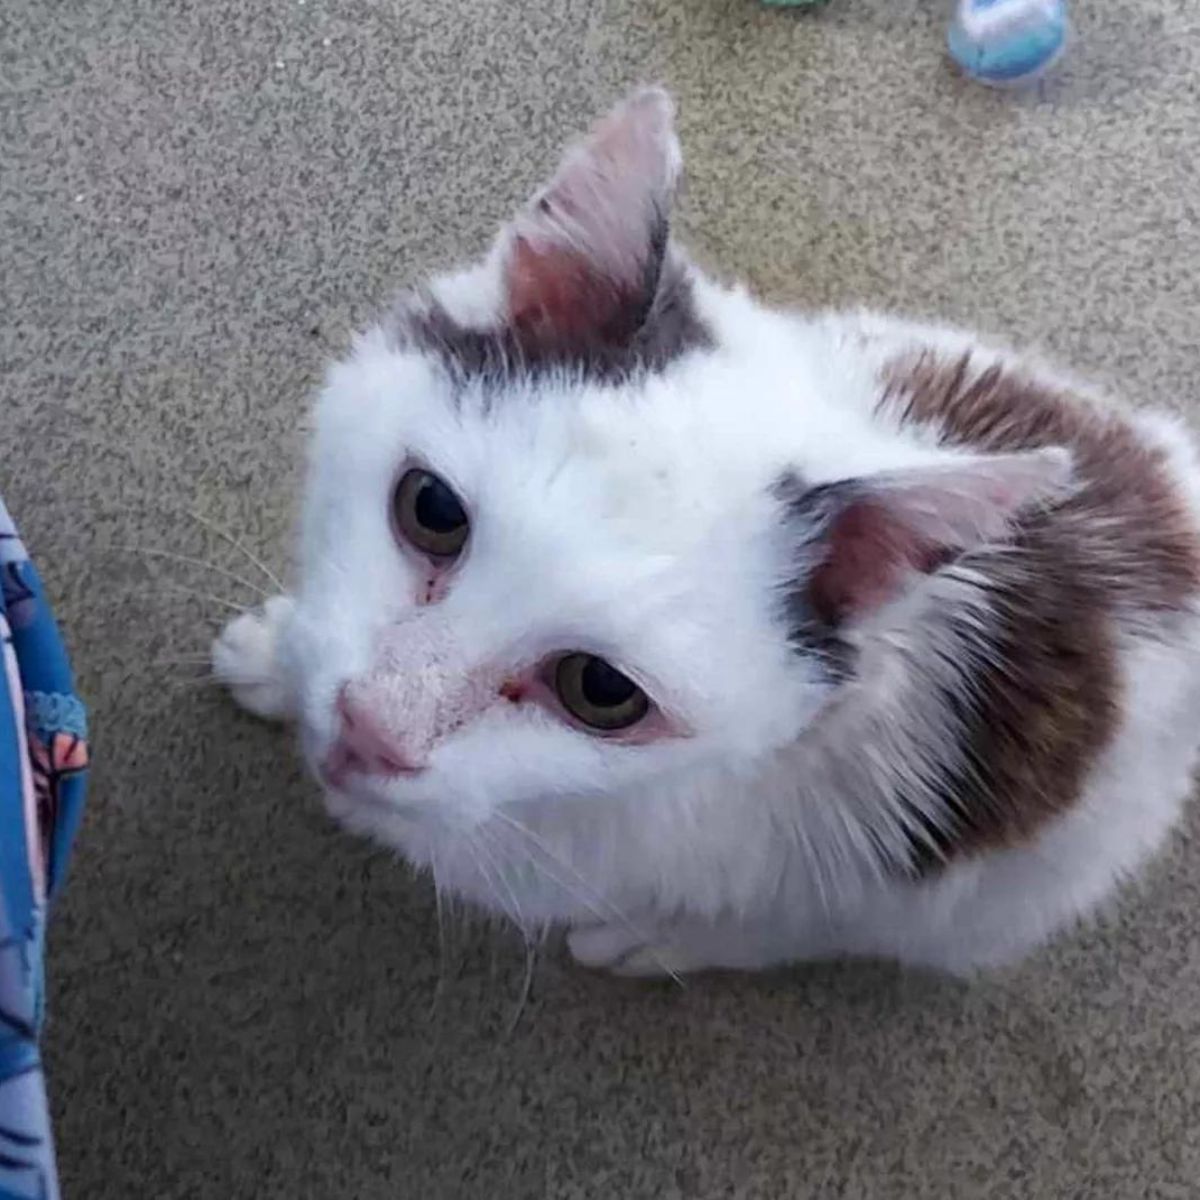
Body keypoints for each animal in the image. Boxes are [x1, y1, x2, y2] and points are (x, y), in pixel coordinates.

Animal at [213, 91, 1200, 974]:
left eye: (601, 690)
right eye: (433, 511)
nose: (371, 725)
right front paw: (282, 655)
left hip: (987, 884)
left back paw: (664, 938)